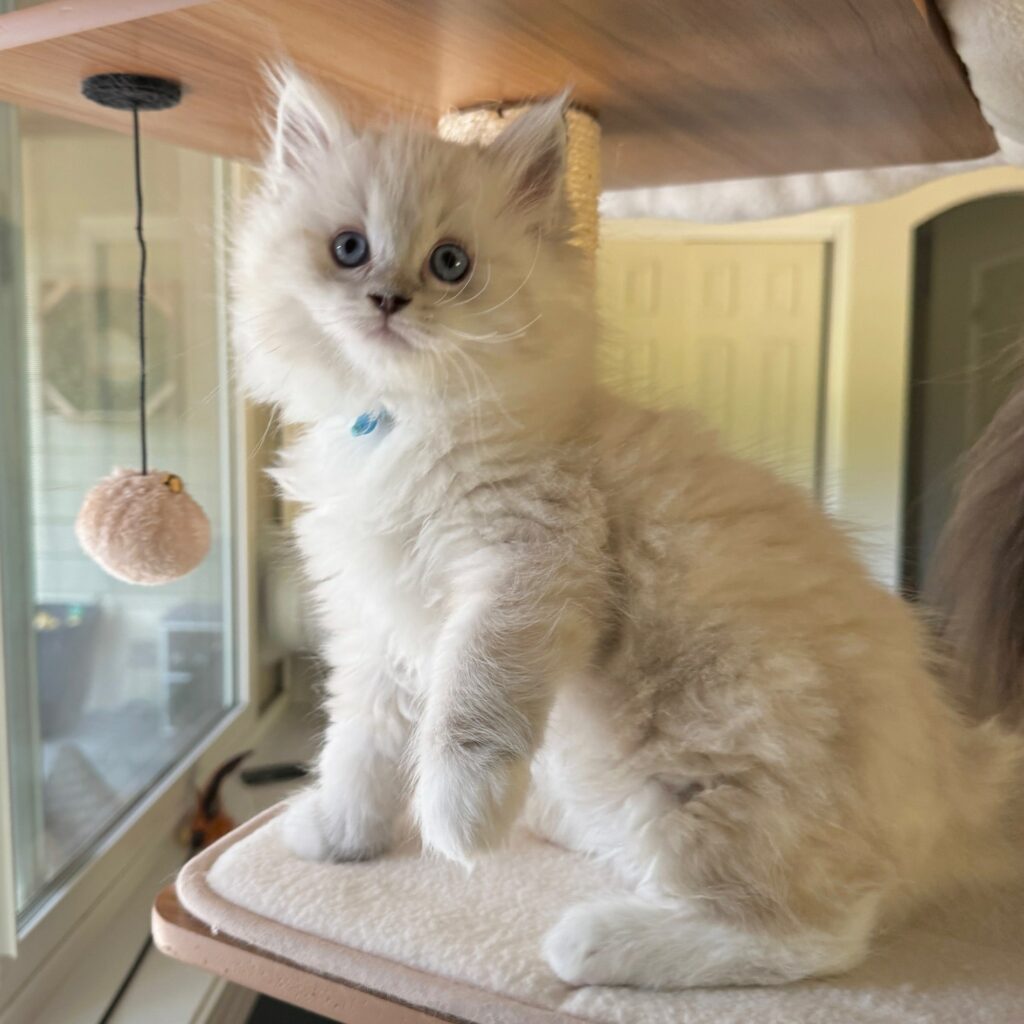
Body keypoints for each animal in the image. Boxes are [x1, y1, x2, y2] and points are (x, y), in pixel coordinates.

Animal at [234, 72, 1024, 991]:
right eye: (350, 249)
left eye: (450, 264)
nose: (388, 299)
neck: (401, 425)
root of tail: (959, 783)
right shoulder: (372, 628)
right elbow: (359, 747)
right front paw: (340, 833)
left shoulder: (529, 562)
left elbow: (468, 706)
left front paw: (459, 819)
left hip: (694, 770)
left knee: (815, 938)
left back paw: (594, 941)